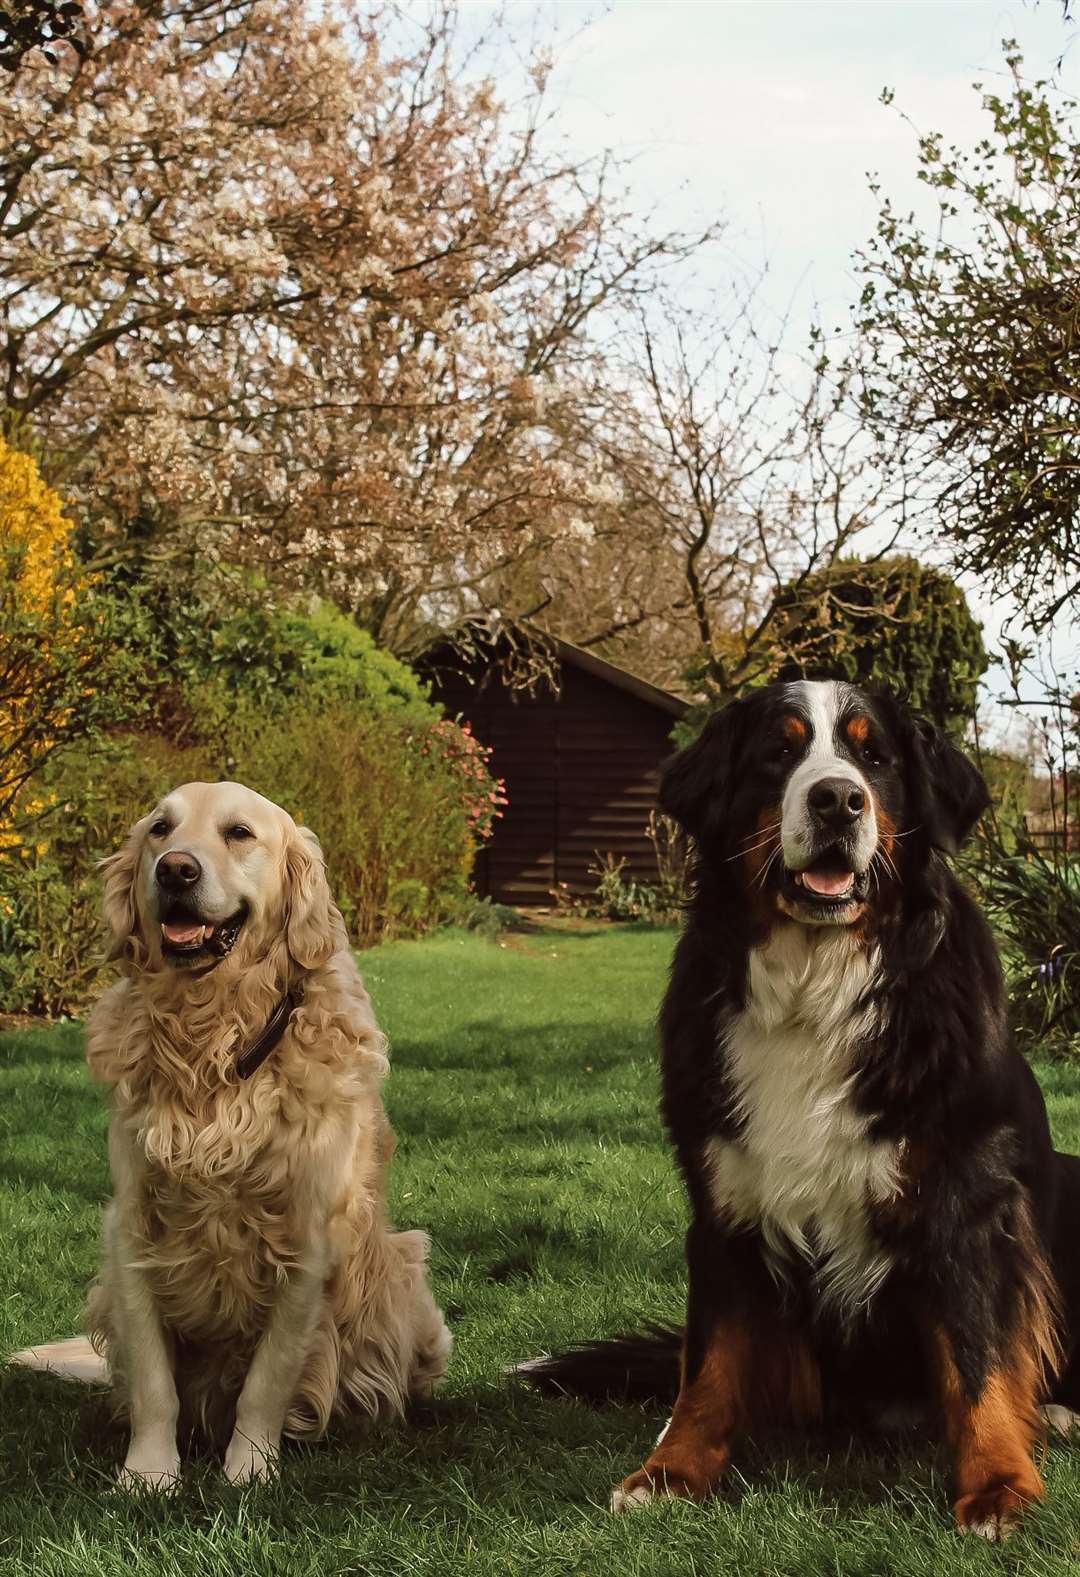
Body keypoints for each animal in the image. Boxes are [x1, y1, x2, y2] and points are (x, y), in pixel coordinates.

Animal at [85, 788, 450, 1488]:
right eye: (160, 829)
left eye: (239, 833)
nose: (175, 870)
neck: (214, 1039)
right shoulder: (133, 1229)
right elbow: (153, 1382)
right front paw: (149, 1475)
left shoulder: (308, 1237)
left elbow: (268, 1379)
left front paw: (248, 1472)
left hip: (404, 1274)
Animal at [517, 681, 1080, 1539]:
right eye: (778, 751)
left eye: (873, 757)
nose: (838, 799)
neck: (816, 992)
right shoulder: (725, 1200)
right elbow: (709, 1361)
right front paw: (671, 1469)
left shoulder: (966, 1200)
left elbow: (980, 1355)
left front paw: (997, 1484)